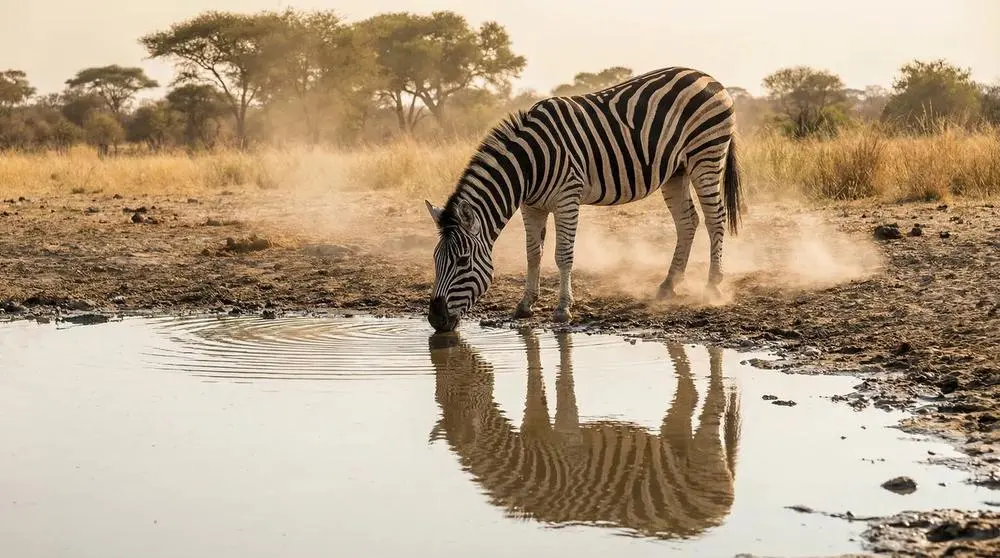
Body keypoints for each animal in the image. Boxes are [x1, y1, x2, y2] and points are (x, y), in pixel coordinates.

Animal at [425, 66, 744, 333]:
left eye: (463, 261)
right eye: (435, 259)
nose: (436, 320)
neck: (528, 166)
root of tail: (707, 76)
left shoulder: (567, 197)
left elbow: (562, 255)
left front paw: (563, 309)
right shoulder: (531, 206)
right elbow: (532, 254)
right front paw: (526, 305)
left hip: (706, 154)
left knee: (715, 218)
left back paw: (713, 286)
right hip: (676, 171)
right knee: (687, 221)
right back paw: (668, 285)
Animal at [427, 329, 742, 539]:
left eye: (460, 389)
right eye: (438, 395)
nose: (442, 331)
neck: (525, 463)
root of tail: (716, 517)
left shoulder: (568, 446)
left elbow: (562, 384)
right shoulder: (533, 425)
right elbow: (534, 383)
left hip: (705, 452)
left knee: (714, 402)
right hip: (677, 441)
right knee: (689, 398)